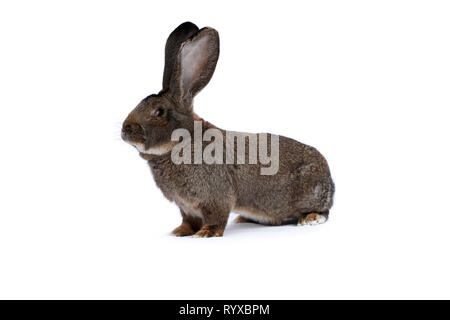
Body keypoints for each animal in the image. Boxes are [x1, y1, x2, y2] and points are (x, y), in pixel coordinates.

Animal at [122, 21, 334, 238]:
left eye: (159, 111)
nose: (125, 130)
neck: (183, 141)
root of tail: (328, 175)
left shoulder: (215, 197)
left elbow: (216, 217)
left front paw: (206, 233)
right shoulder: (186, 207)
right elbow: (188, 221)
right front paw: (179, 232)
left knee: (323, 210)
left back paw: (310, 219)